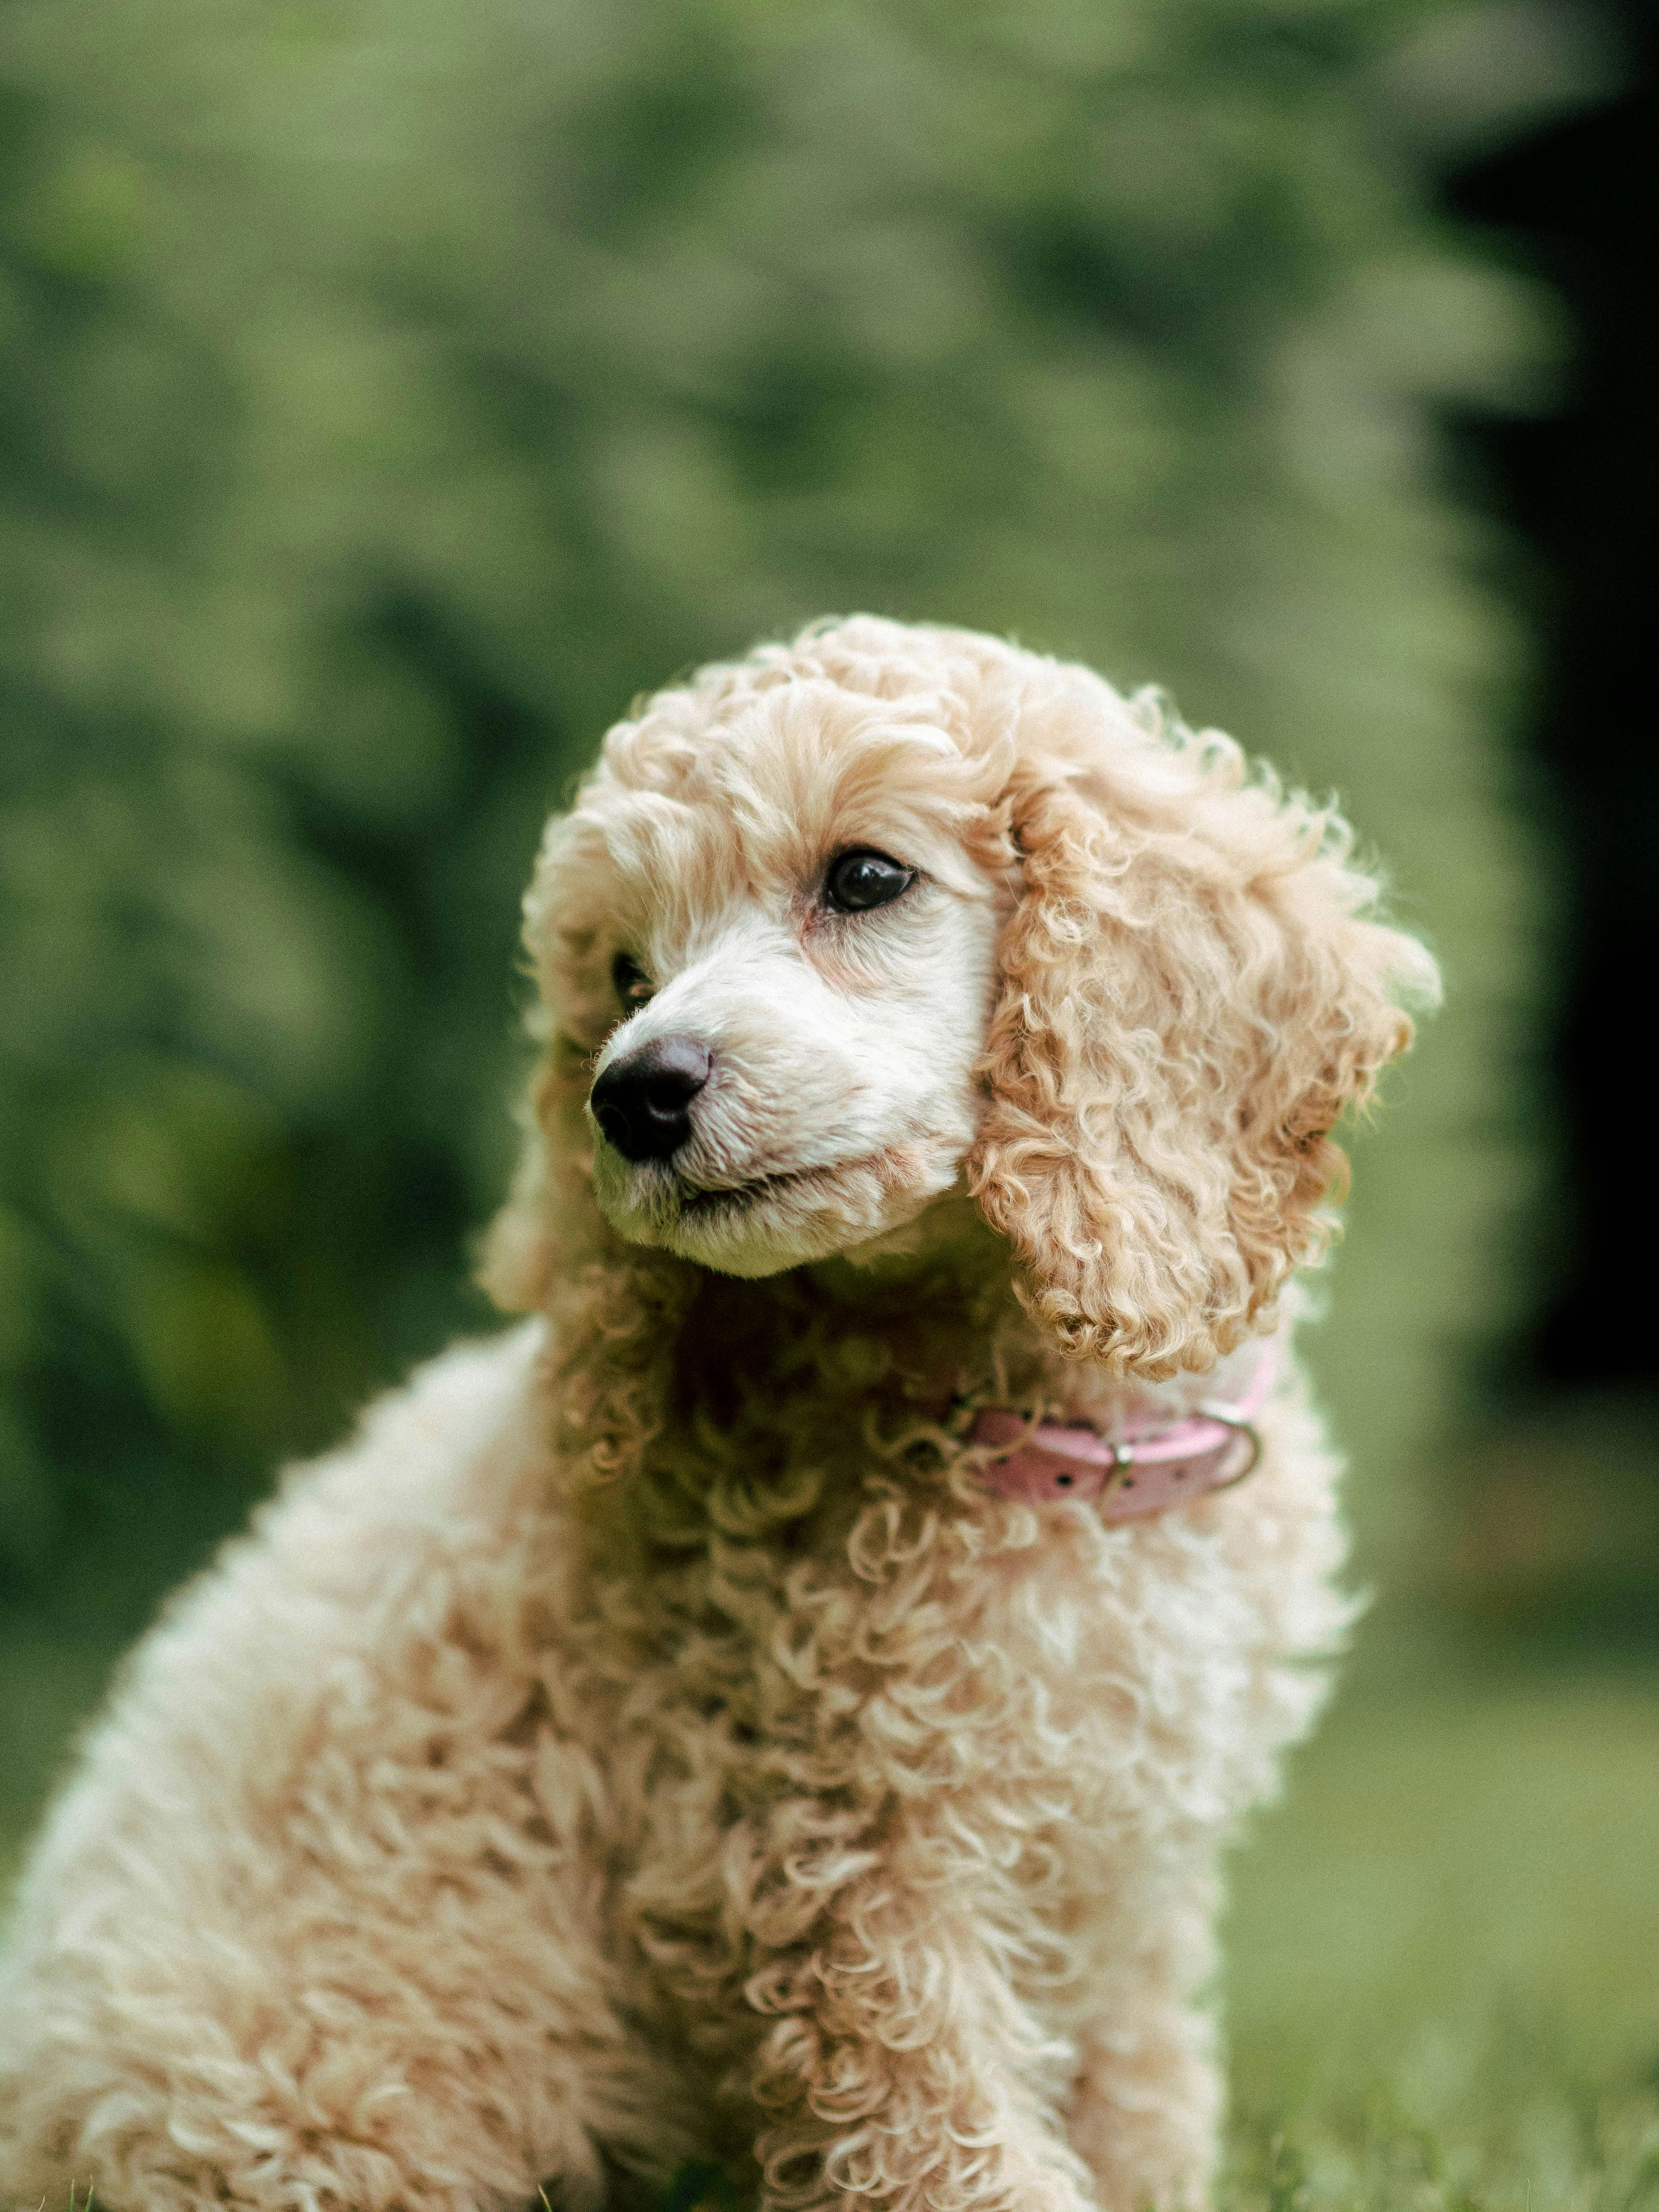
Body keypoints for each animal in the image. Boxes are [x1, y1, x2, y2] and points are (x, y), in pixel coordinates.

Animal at [0, 619, 1433, 2212]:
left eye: (864, 877)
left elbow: (1141, 2109)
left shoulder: (1127, 1888)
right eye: (628, 970)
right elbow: (953, 2145)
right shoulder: (827, 1866)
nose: (634, 1093)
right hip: (327, 2110)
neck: (1033, 1436)